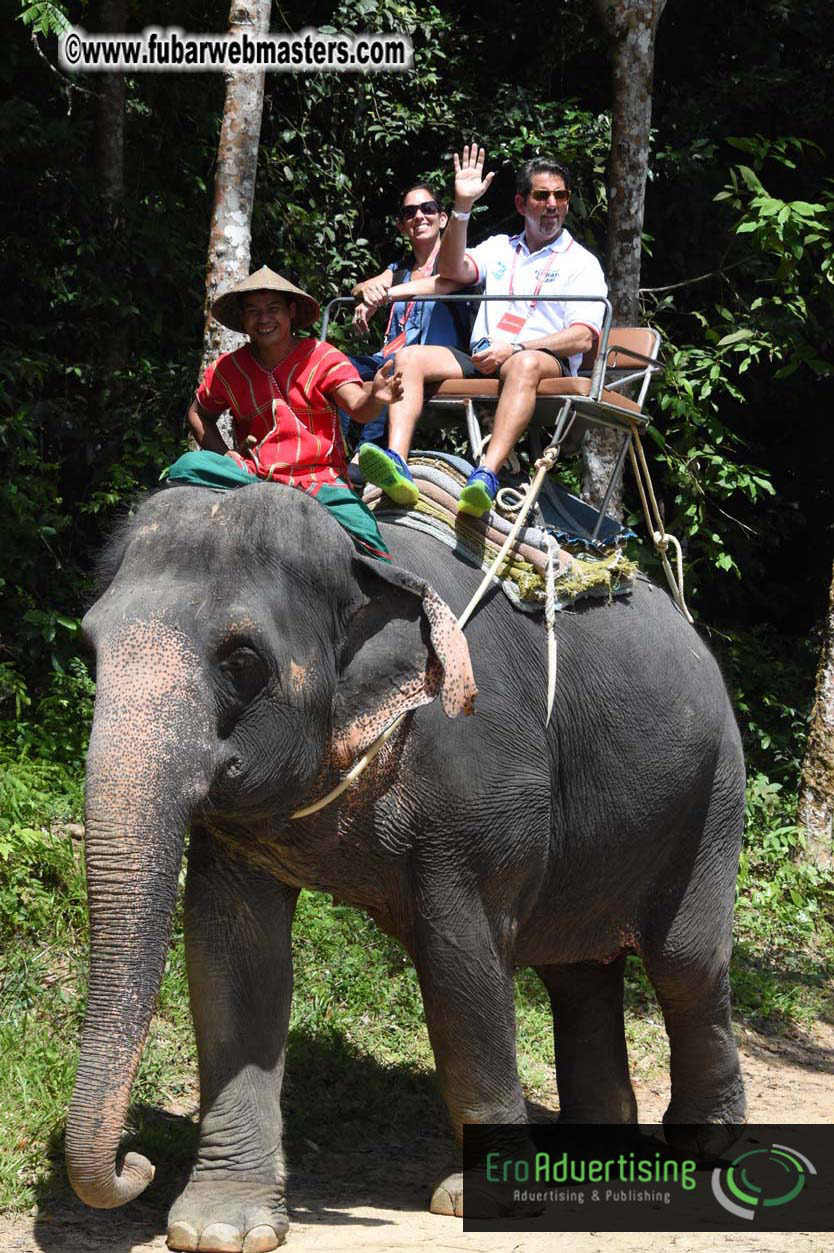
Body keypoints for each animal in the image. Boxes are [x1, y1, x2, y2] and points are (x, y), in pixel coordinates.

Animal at [65, 480, 746, 1251]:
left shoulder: (480, 777)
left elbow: (461, 959)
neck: (361, 559)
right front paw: (219, 1227)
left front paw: (481, 1199)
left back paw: (703, 1145)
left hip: (713, 793)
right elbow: (233, 957)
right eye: (90, 647)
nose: (136, 1161)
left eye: (241, 661)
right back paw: (587, 1158)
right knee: (576, 971)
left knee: (685, 960)